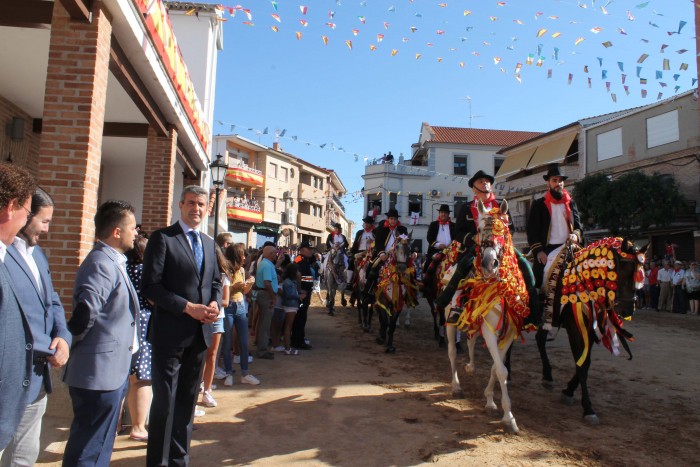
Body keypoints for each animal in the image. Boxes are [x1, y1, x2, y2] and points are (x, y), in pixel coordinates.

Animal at [446, 200, 528, 436]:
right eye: (480, 229)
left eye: (504, 230)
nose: (489, 263)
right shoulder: (490, 331)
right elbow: (501, 369)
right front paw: (509, 417)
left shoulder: (509, 333)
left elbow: (497, 367)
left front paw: (491, 401)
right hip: (448, 320)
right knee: (452, 352)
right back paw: (456, 386)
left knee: (471, 341)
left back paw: (470, 366)